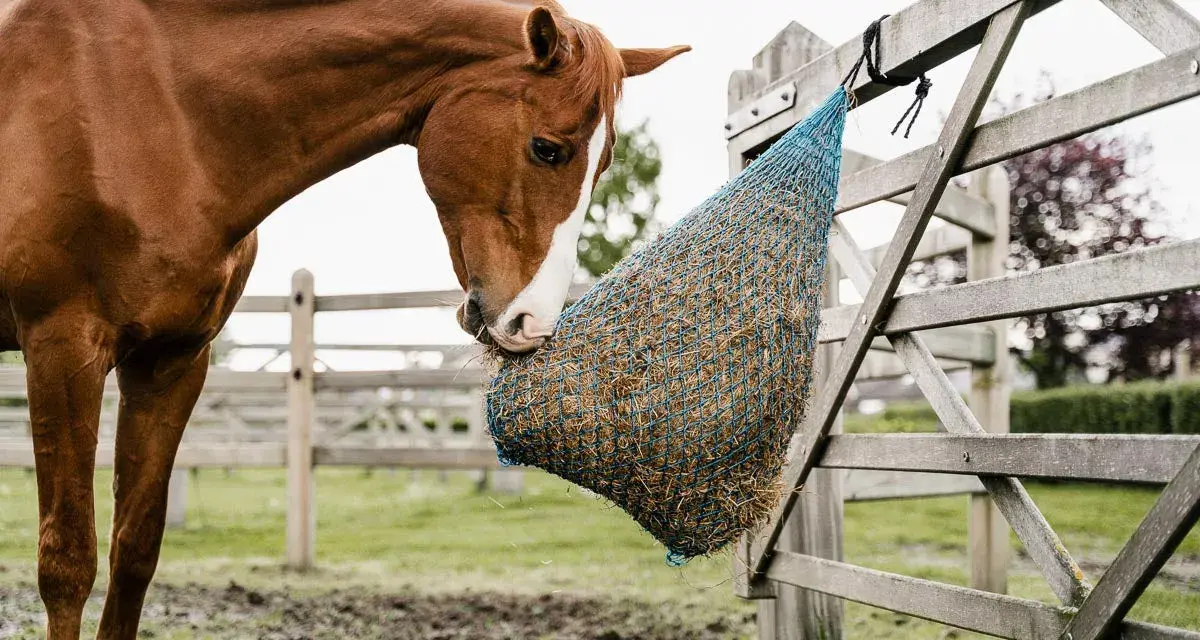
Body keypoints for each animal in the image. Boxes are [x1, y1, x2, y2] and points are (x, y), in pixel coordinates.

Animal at [0, 0, 688, 636]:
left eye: (602, 165)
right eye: (547, 149)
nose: (532, 324)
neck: (157, 109)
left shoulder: (172, 362)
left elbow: (135, 551)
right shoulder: (63, 349)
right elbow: (67, 563)